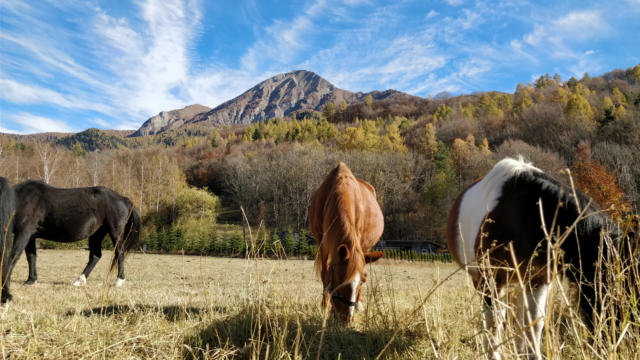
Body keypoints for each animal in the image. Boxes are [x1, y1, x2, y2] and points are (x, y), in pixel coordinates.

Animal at [0, 178, 140, 304]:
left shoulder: (24, 232)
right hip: (97, 234)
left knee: (119, 252)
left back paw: (119, 281)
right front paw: (31, 280)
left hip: (115, 232)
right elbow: (31, 257)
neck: (22, 199)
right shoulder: (31, 236)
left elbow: (14, 256)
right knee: (95, 256)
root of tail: (124, 199)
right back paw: (80, 280)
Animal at [308, 163, 382, 324]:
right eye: (340, 281)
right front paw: (325, 307)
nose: (347, 319)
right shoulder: (323, 245)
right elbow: (325, 275)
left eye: (361, 282)